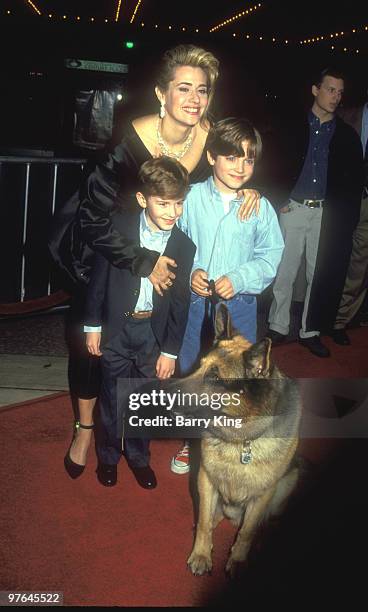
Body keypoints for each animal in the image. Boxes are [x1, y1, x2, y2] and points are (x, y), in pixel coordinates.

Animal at [171, 306, 300, 580]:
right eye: (199, 367)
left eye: (214, 378)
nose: (165, 396)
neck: (241, 440)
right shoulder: (205, 479)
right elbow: (204, 523)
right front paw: (201, 554)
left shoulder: (263, 495)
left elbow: (247, 532)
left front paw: (238, 559)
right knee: (210, 517)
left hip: (288, 483)